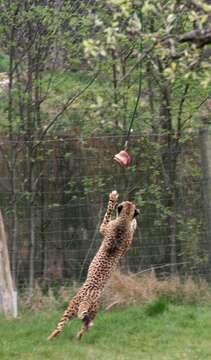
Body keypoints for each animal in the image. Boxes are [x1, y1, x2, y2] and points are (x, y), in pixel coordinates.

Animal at [48, 191, 140, 340]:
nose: (135, 206)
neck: (123, 220)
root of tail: (87, 297)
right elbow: (112, 214)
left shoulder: (106, 229)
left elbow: (109, 213)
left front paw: (114, 199)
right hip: (77, 311)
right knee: (66, 327)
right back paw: (55, 339)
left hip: (79, 309)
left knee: (75, 327)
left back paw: (69, 339)